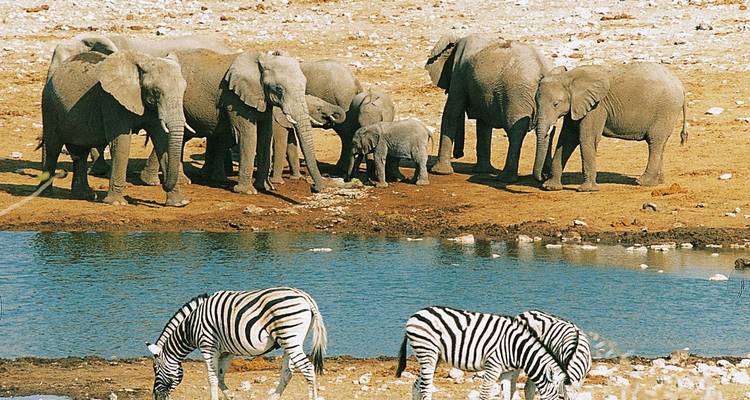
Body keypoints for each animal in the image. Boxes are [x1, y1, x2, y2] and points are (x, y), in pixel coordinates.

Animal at [146, 287, 327, 400]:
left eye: (155, 368)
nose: (155, 397)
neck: (190, 327)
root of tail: (305, 297)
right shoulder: (227, 351)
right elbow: (219, 376)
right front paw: (233, 396)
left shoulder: (207, 346)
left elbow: (212, 378)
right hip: (290, 342)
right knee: (287, 372)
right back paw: (273, 397)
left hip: (289, 337)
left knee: (307, 368)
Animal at [396, 306, 571, 400]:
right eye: (561, 397)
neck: (517, 348)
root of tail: (415, 315)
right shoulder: (493, 366)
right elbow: (485, 395)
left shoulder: (507, 372)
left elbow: (507, 394)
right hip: (428, 353)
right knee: (425, 387)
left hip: (434, 357)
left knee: (417, 385)